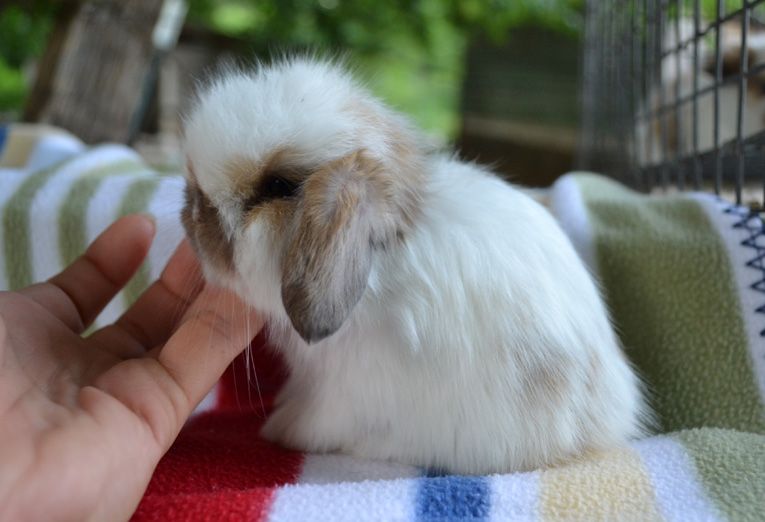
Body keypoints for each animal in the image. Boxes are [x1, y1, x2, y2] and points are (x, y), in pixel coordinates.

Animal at [182, 55, 648, 472]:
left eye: (278, 186)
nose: (193, 209)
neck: (381, 259)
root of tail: (604, 421)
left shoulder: (344, 392)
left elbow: (318, 421)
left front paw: (283, 428)